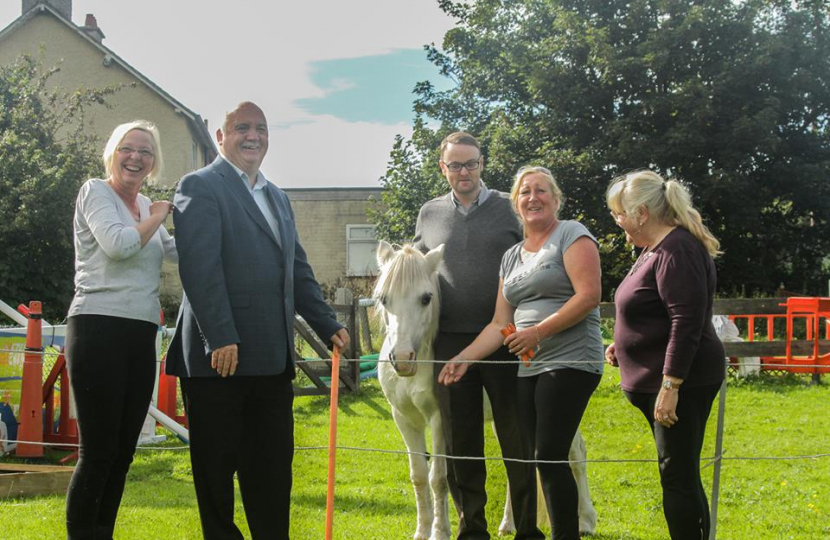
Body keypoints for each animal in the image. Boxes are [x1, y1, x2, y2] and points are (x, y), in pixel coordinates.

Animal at [376, 243, 600, 536]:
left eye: (426, 298)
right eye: (383, 299)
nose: (403, 359)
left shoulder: (438, 419)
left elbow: (438, 478)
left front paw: (439, 532)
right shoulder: (403, 419)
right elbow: (419, 477)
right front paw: (423, 531)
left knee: (576, 454)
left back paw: (585, 521)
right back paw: (508, 524)